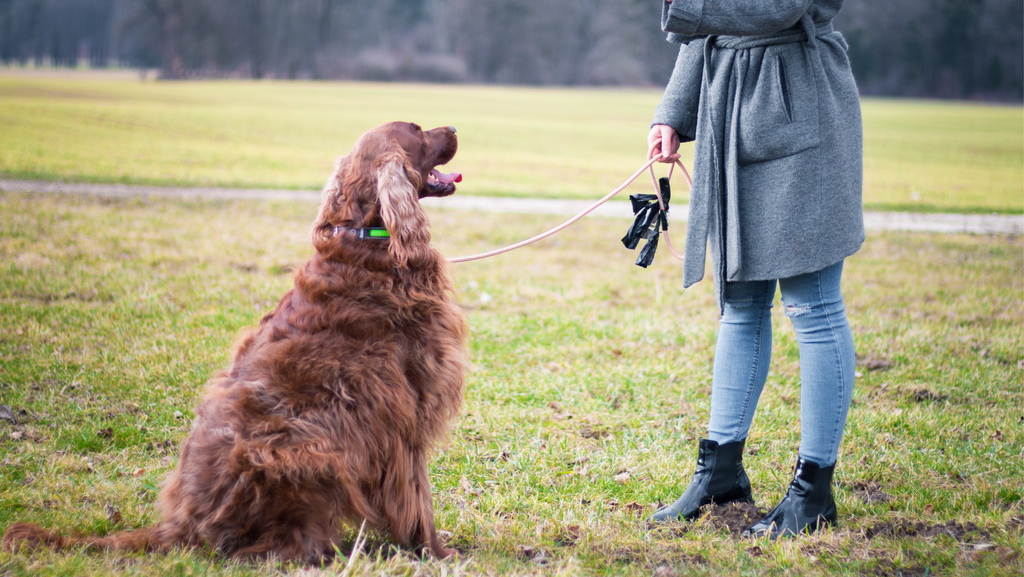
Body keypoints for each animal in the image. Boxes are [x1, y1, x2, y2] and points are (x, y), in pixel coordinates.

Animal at [2, 122, 468, 565]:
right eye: (417, 129)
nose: (453, 129)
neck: (366, 240)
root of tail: (182, 527)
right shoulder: (406, 410)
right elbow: (419, 499)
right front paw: (438, 554)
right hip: (307, 450)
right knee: (270, 546)